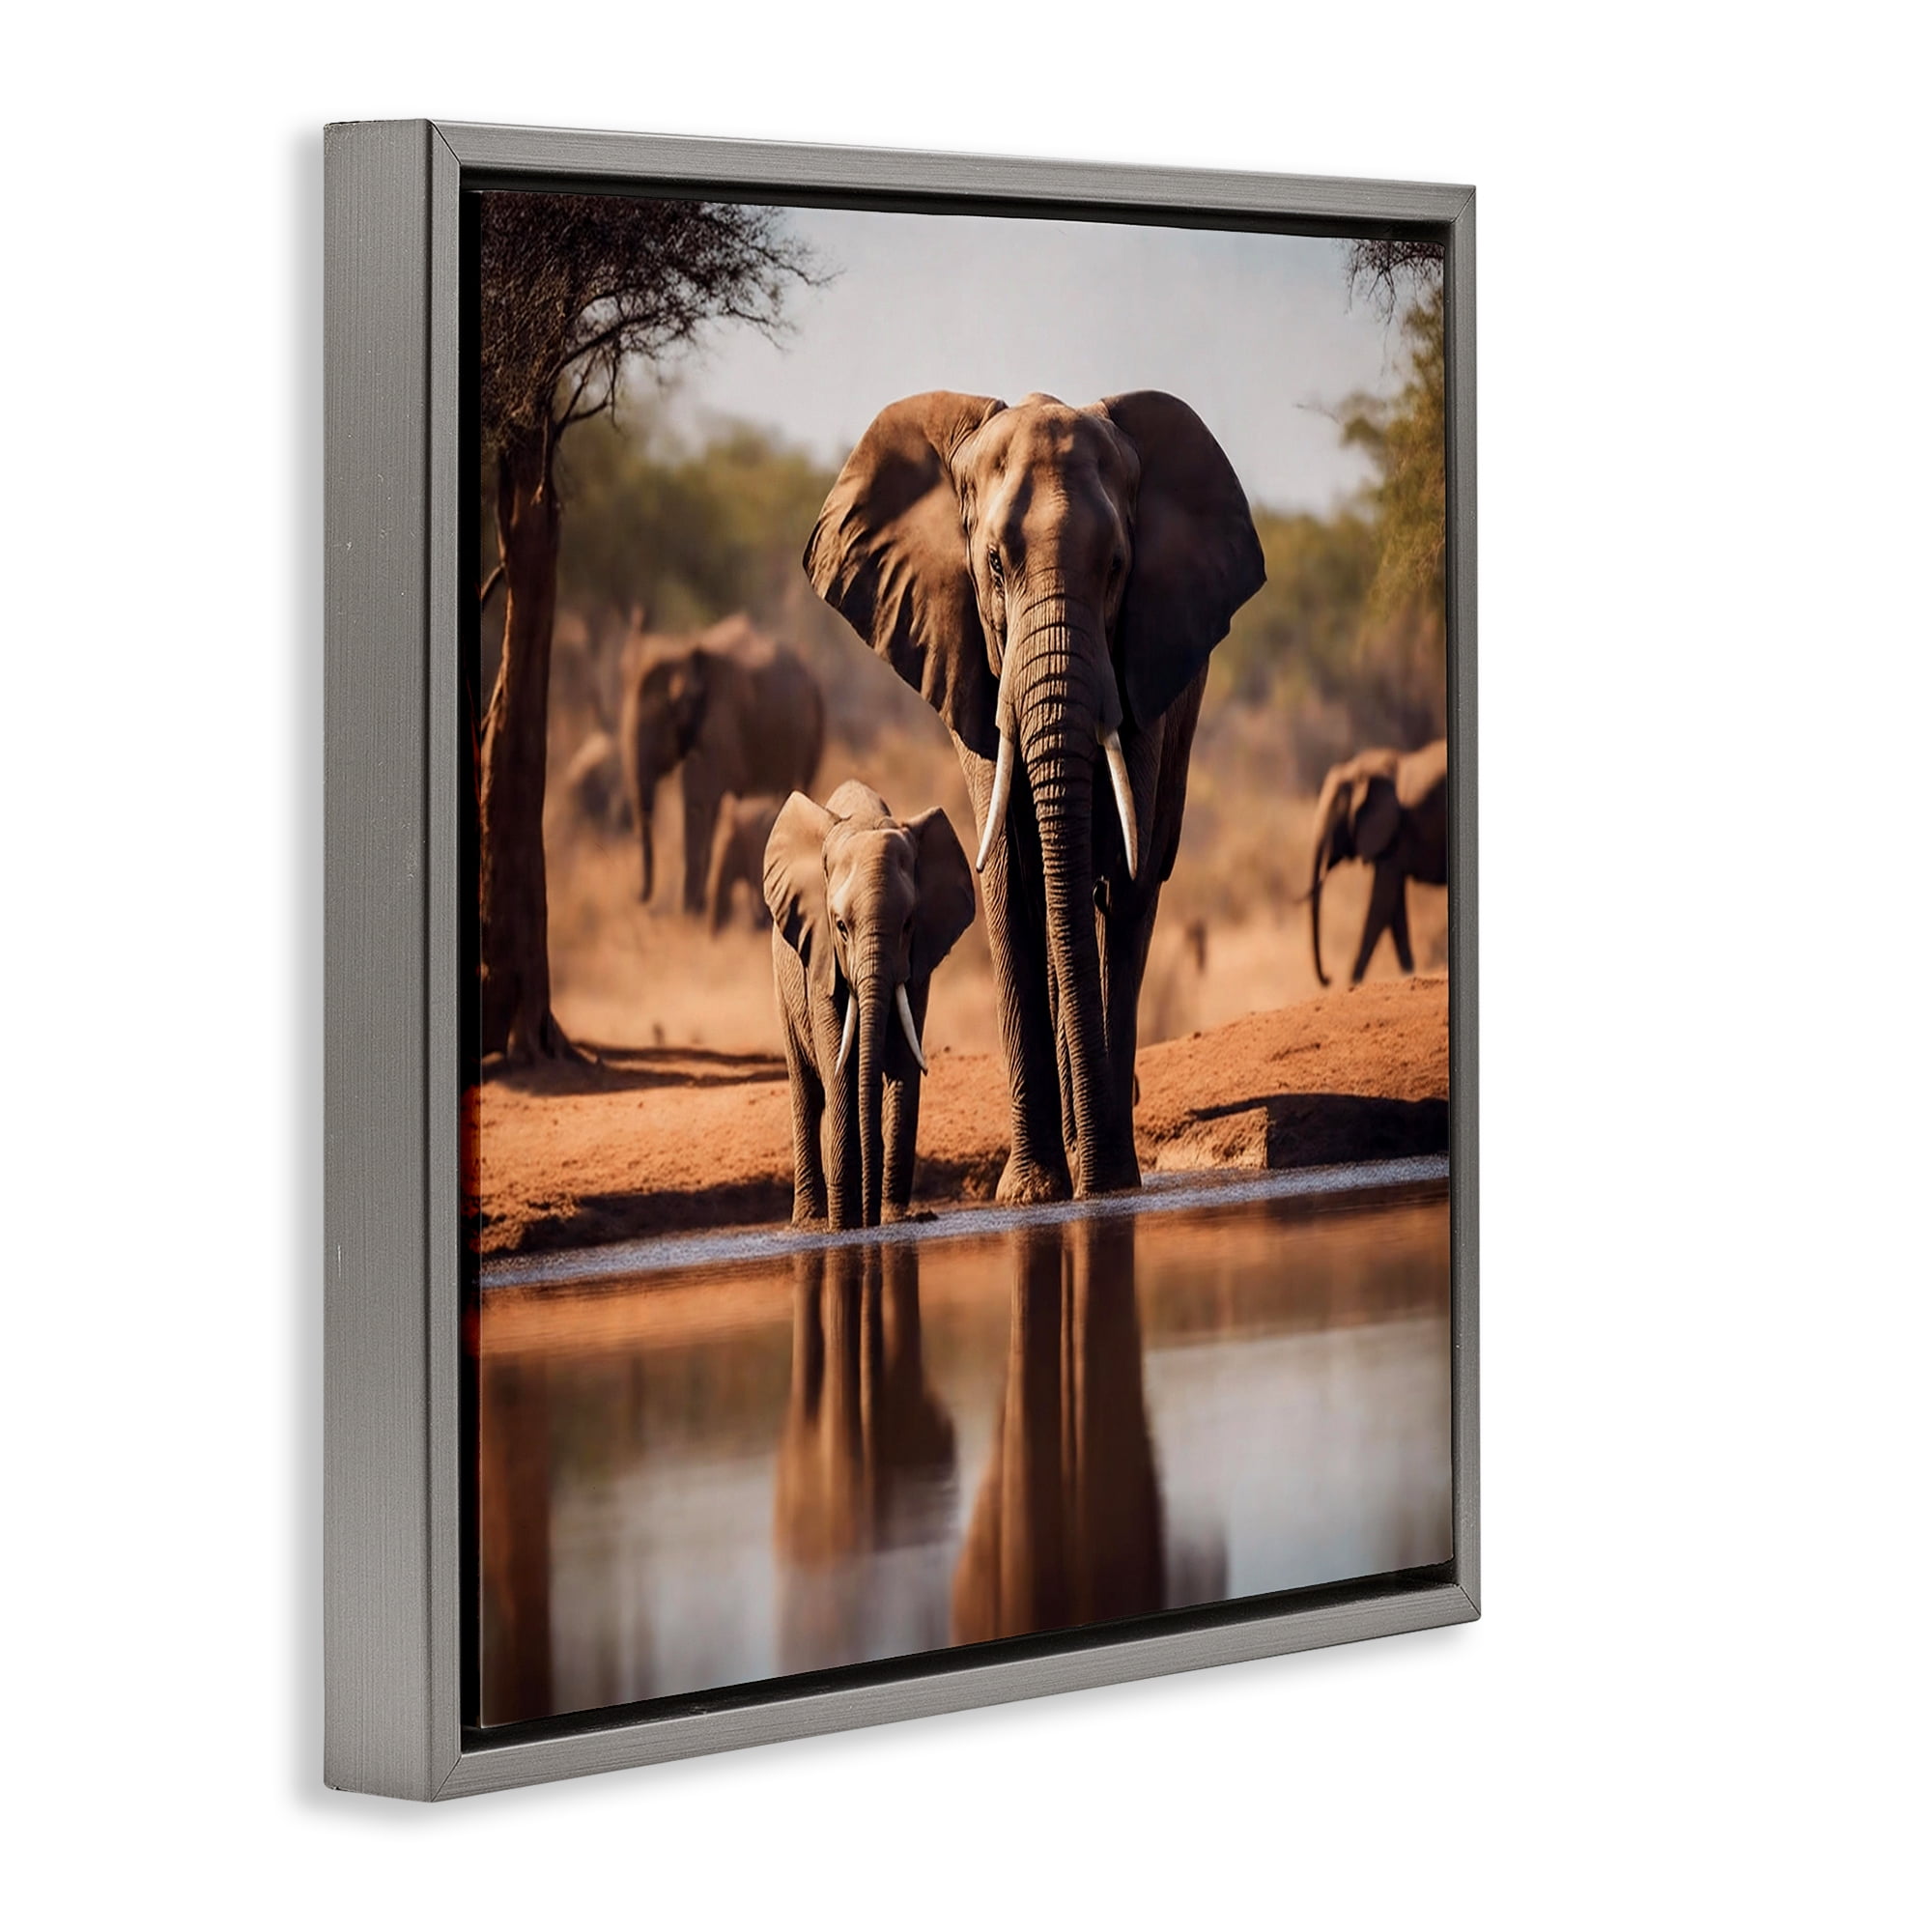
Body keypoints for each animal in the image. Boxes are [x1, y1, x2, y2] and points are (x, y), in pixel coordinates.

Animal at [619, 614, 825, 911]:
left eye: (658, 719)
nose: (638, 897)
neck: (682, 650)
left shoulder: (721, 721)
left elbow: (700, 800)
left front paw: (691, 910)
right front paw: (694, 907)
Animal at [764, 779, 977, 1230]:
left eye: (909, 924)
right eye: (841, 926)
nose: (868, 1216)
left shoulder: (918, 961)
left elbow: (903, 1064)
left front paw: (896, 1220)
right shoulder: (820, 955)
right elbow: (839, 1065)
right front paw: (844, 1225)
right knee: (805, 1092)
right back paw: (811, 1222)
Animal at [806, 390, 1264, 1204]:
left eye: (1117, 568)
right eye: (993, 564)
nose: (1093, 1180)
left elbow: (1124, 879)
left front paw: (1110, 1184)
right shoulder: (968, 659)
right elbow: (1013, 878)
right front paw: (1032, 1193)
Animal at [1306, 738, 1448, 986]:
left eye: (1334, 818)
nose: (1329, 978)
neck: (1360, 768)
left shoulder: (1394, 831)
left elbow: (1381, 902)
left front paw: (1352, 983)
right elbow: (1394, 907)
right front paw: (1409, 974)